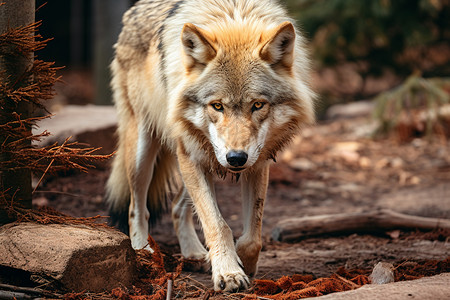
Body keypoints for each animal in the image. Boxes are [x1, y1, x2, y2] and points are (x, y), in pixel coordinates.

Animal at [106, 0, 316, 292]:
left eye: (257, 105)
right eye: (217, 105)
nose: (236, 158)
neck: (233, 20)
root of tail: (132, 12)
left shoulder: (257, 163)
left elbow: (252, 237)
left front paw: (244, 265)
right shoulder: (192, 157)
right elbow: (217, 224)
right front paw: (229, 273)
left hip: (202, 156)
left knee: (176, 206)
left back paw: (194, 254)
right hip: (146, 150)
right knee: (137, 207)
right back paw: (143, 251)